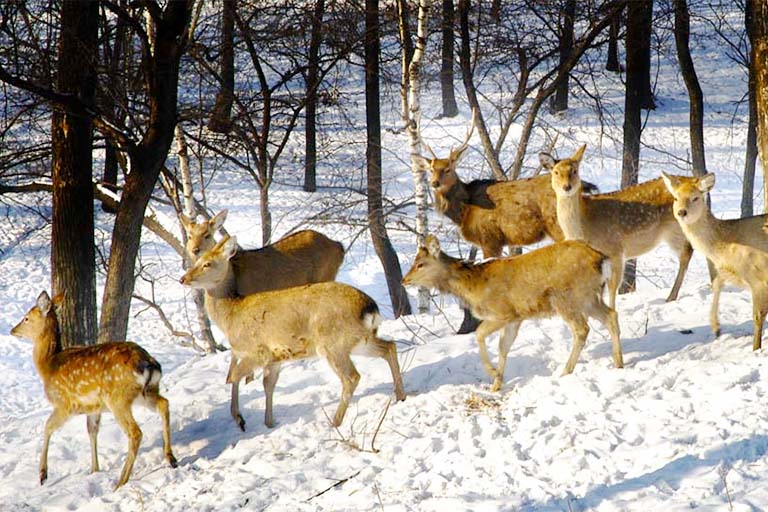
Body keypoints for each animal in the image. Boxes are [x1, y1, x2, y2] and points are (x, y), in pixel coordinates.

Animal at [9, 292, 177, 488]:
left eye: (26, 318)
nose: (12, 330)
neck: (48, 366)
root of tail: (148, 363)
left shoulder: (64, 404)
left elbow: (47, 427)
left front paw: (43, 474)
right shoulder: (94, 408)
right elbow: (92, 431)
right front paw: (94, 470)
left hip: (118, 398)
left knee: (135, 432)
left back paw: (121, 481)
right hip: (147, 392)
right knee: (164, 404)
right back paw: (171, 458)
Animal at [181, 235, 408, 428]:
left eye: (207, 263)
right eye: (197, 260)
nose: (183, 278)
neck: (231, 316)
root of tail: (369, 307)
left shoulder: (256, 351)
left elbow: (233, 377)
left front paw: (239, 418)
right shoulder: (275, 357)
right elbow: (267, 385)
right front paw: (269, 422)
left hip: (332, 344)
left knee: (352, 377)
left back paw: (334, 421)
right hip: (360, 340)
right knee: (390, 347)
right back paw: (401, 396)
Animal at [402, 234, 624, 390]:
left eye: (421, 264)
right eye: (414, 262)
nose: (404, 280)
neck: (473, 286)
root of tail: (602, 260)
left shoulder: (503, 312)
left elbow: (480, 334)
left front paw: (493, 373)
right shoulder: (516, 318)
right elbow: (503, 347)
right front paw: (496, 384)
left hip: (567, 298)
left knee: (582, 329)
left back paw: (565, 371)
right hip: (588, 297)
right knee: (611, 315)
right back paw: (619, 363)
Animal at [540, 144, 696, 308]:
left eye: (574, 171)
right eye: (556, 172)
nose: (567, 187)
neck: (584, 225)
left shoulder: (615, 249)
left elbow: (612, 287)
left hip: (676, 229)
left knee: (687, 252)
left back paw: (671, 296)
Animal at [660, 171, 768, 348]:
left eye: (695, 198)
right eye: (675, 198)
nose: (682, 212)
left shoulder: (759, 277)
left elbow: (758, 317)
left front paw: (755, 348)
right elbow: (716, 285)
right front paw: (716, 328)